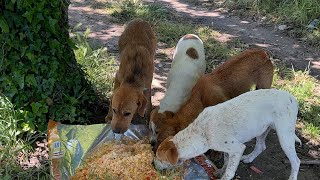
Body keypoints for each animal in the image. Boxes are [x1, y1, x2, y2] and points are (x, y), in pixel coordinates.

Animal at [156, 89, 302, 180]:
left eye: (160, 159)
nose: (153, 164)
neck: (202, 132)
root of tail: (293, 98)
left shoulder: (237, 149)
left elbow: (230, 172)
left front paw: (224, 175)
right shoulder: (228, 149)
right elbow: (226, 161)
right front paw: (221, 170)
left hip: (285, 136)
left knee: (296, 161)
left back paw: (292, 177)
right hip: (261, 130)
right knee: (261, 146)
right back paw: (248, 158)